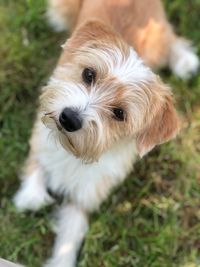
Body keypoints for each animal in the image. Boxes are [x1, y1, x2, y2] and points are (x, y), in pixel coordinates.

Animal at [13, 0, 198, 267]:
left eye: (120, 113)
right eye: (89, 74)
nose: (69, 118)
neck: (74, 151)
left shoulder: (85, 196)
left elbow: (69, 238)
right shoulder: (41, 134)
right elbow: (36, 161)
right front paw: (30, 195)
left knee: (171, 38)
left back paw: (185, 60)